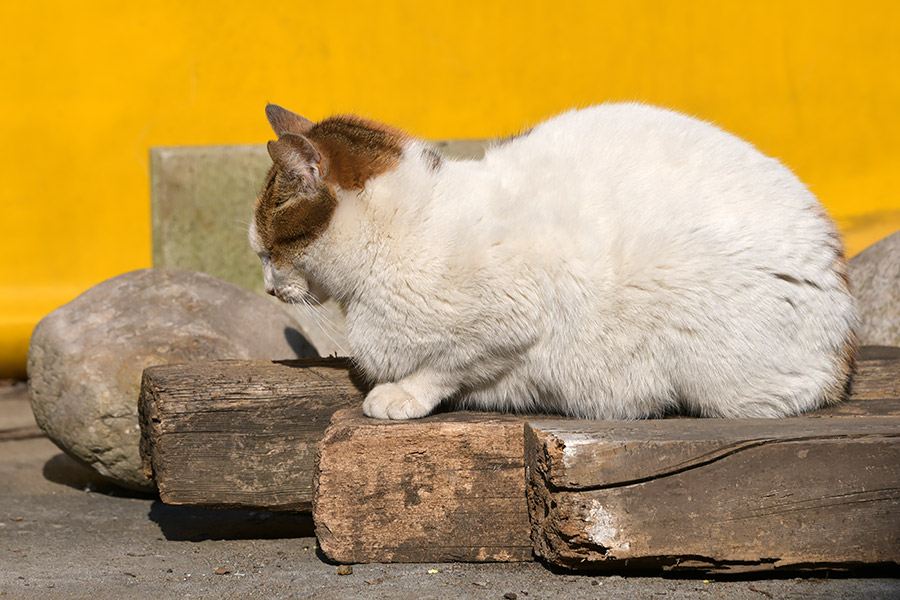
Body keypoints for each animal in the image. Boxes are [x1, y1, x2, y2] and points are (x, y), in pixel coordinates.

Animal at [248, 103, 856, 420]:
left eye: (268, 251)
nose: (268, 288)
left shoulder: (512, 319)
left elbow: (448, 364)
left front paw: (402, 396)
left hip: (720, 371)